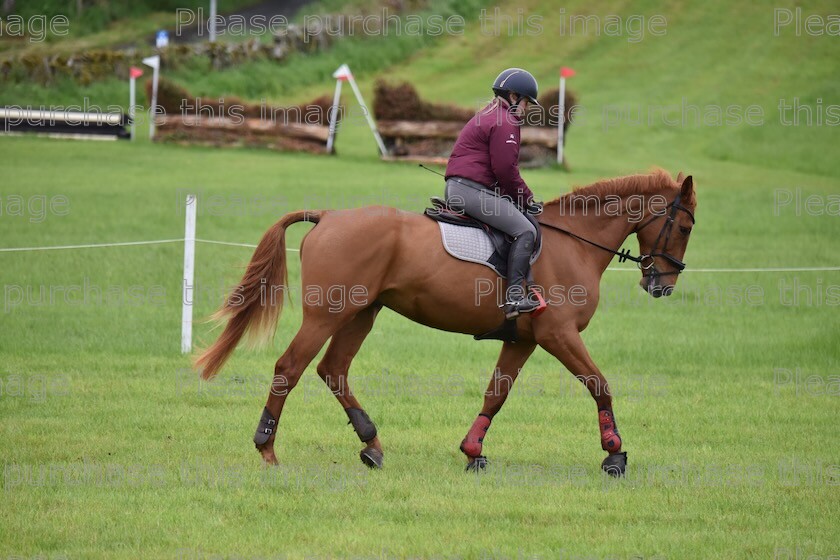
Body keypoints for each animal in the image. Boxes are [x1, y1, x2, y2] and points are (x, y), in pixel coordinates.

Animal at [195, 168, 696, 474]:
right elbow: (599, 384)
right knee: (290, 368)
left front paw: (473, 452)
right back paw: (267, 448)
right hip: (327, 314)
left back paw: (372, 445)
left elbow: (496, 394)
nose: (663, 286)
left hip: (361, 313)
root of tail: (329, 215)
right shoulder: (559, 334)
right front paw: (614, 454)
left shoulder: (524, 340)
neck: (574, 242)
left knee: (332, 370)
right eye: (686, 226)